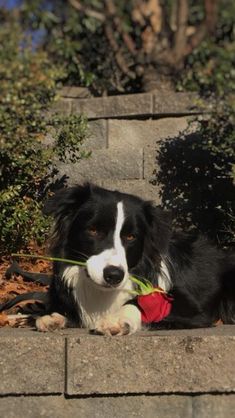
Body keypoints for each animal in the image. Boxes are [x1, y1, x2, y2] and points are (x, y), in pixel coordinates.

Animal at [35, 185, 234, 334]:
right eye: (93, 230)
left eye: (131, 237)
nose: (114, 275)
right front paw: (53, 317)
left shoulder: (189, 306)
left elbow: (140, 303)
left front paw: (116, 319)